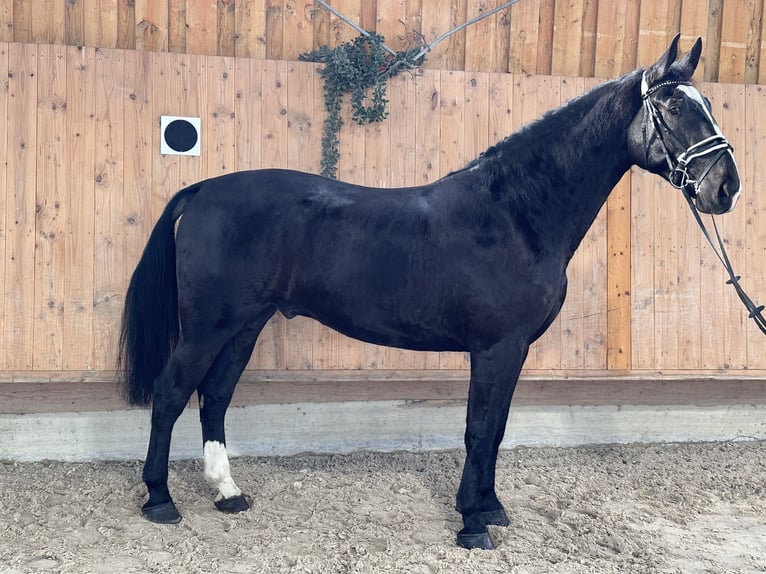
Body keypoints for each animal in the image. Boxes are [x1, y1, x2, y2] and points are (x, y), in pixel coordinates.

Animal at [120, 37, 744, 552]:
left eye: (710, 106)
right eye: (672, 108)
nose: (727, 187)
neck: (514, 214)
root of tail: (204, 189)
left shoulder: (513, 350)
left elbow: (496, 429)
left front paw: (492, 508)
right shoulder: (494, 348)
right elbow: (478, 428)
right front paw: (471, 524)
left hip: (245, 324)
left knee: (215, 396)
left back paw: (228, 493)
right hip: (209, 325)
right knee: (172, 394)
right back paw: (160, 500)